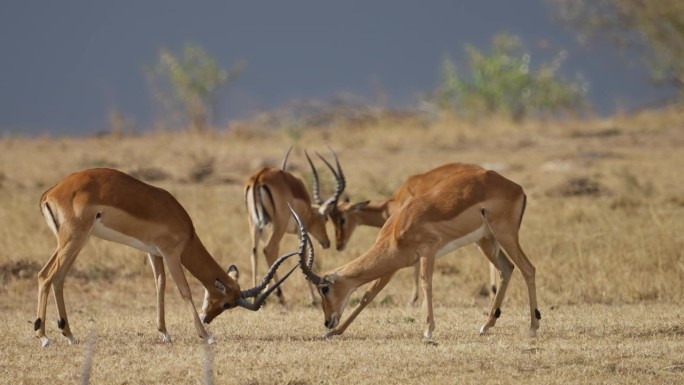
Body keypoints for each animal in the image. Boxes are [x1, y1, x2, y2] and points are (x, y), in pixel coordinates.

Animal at [36, 166, 304, 346]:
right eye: (227, 303)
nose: (207, 319)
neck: (185, 228)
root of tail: (49, 193)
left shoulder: (154, 253)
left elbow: (160, 285)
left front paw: (164, 333)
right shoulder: (172, 254)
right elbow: (184, 290)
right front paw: (206, 336)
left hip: (70, 243)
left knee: (51, 277)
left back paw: (68, 335)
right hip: (74, 240)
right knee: (48, 277)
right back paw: (44, 336)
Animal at [243, 147, 344, 306]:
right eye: (326, 218)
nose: (327, 243)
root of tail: (259, 177)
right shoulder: (300, 231)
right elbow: (305, 254)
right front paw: (313, 299)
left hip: (254, 223)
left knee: (254, 251)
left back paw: (256, 297)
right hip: (279, 225)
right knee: (268, 249)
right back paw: (281, 297)